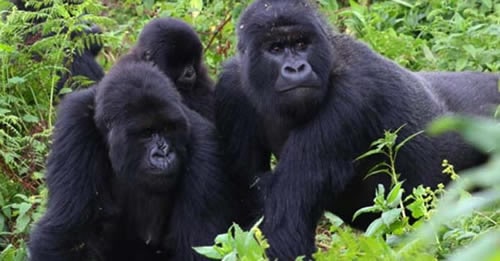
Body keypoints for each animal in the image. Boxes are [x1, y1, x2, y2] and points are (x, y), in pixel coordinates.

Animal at [29, 60, 234, 258]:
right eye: (146, 133)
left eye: (168, 128)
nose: (163, 153)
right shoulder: (75, 124)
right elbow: (70, 233)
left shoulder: (204, 142)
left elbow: (197, 243)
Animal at [216, 0, 500, 256]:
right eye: (275, 48)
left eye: (301, 44)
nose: (296, 68)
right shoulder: (231, 87)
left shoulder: (352, 93)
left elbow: (286, 223)